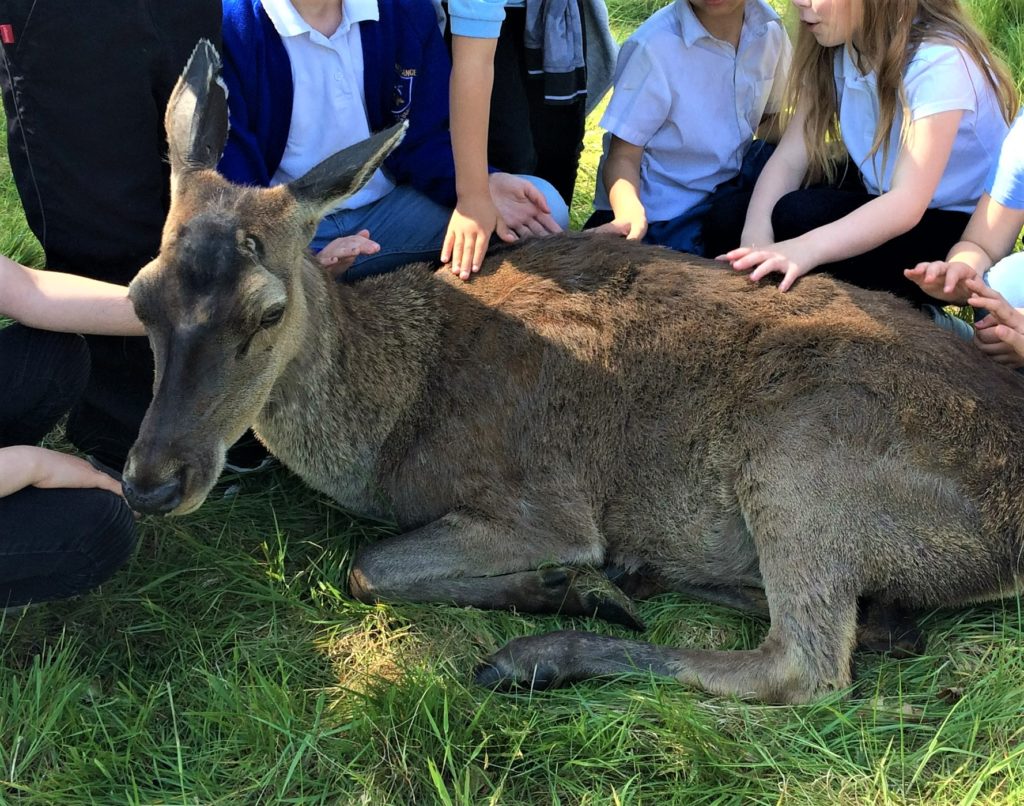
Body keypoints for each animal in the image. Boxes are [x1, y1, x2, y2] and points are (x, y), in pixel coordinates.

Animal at [123, 40, 1024, 704]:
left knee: (804, 666)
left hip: (805, 460)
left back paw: (541, 652)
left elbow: (369, 567)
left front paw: (567, 586)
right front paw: (584, 584)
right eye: (138, 297)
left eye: (268, 311)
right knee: (868, 629)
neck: (391, 426)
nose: (150, 481)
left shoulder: (540, 503)